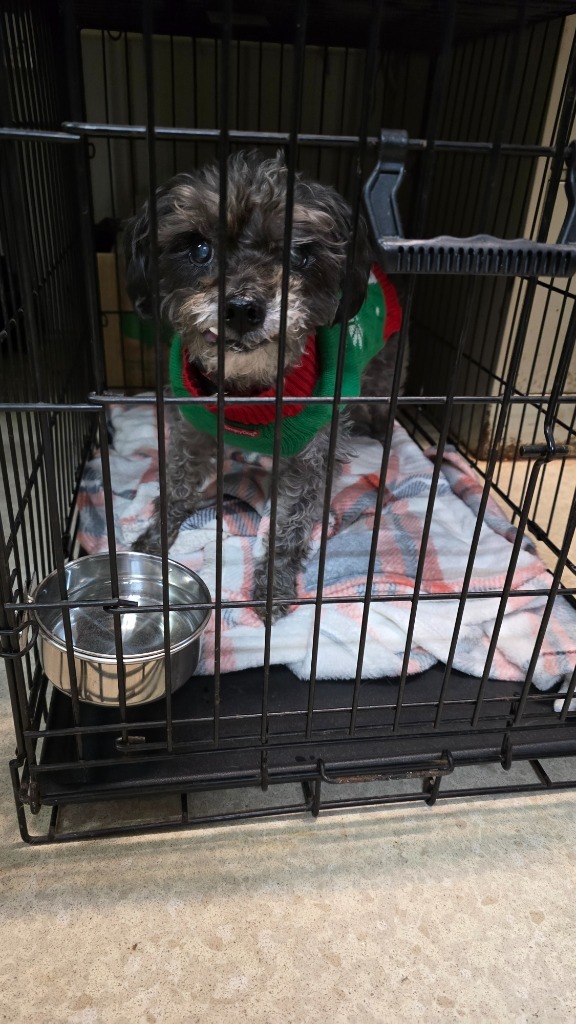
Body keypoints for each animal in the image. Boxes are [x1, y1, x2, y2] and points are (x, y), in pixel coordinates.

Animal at [125, 149, 403, 614]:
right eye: (199, 248)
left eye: (298, 254)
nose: (242, 308)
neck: (247, 391)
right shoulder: (192, 429)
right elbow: (176, 486)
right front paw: (152, 541)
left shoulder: (311, 456)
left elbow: (289, 525)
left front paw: (274, 585)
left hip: (385, 368)